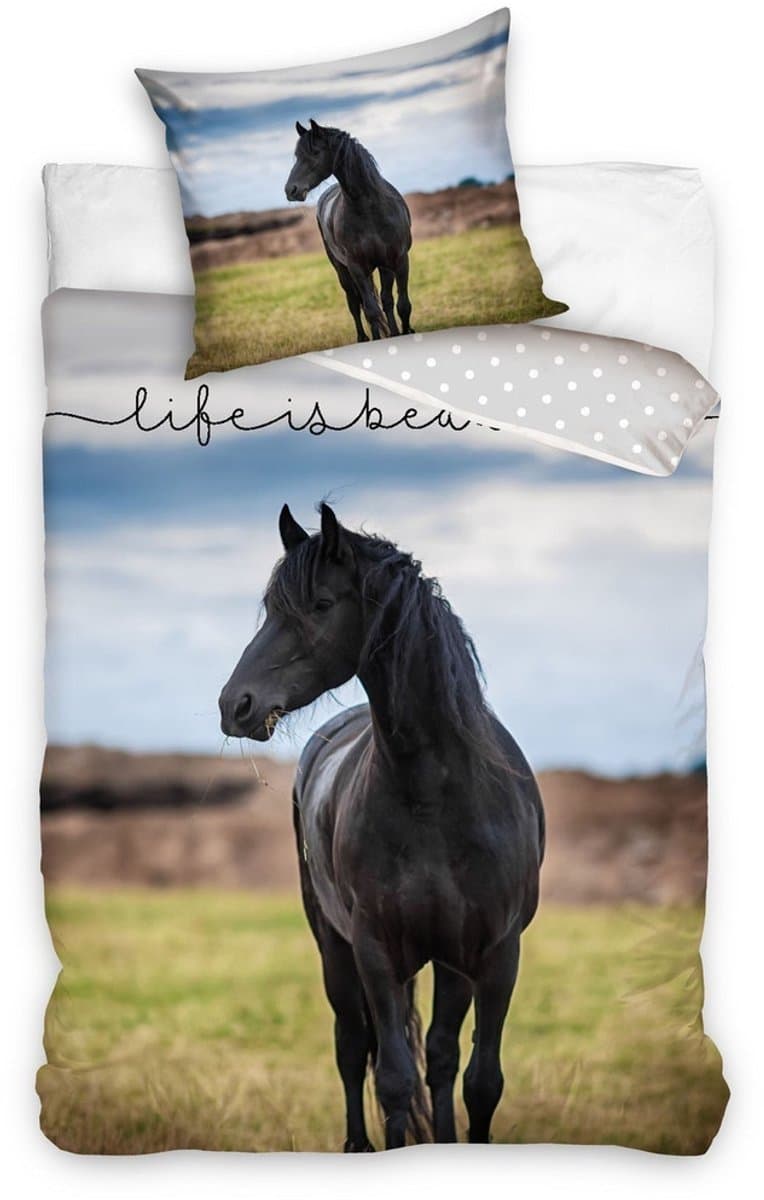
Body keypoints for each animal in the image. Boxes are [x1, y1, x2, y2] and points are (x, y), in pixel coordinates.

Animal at [219, 503, 544, 1150]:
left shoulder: (496, 955)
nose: (234, 705)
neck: (436, 797)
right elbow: (392, 1078)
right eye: (271, 608)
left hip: (450, 963)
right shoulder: (375, 952)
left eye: (321, 604)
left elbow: (479, 1082)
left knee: (440, 1058)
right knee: (352, 1048)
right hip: (335, 949)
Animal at [284, 119, 414, 343]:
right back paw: (364, 338)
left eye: (315, 153)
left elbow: (402, 305)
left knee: (385, 300)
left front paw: (404, 332)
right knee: (355, 303)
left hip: (382, 267)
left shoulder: (398, 260)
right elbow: (370, 310)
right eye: (297, 156)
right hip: (343, 270)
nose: (290, 190)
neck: (369, 209)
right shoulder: (356, 267)